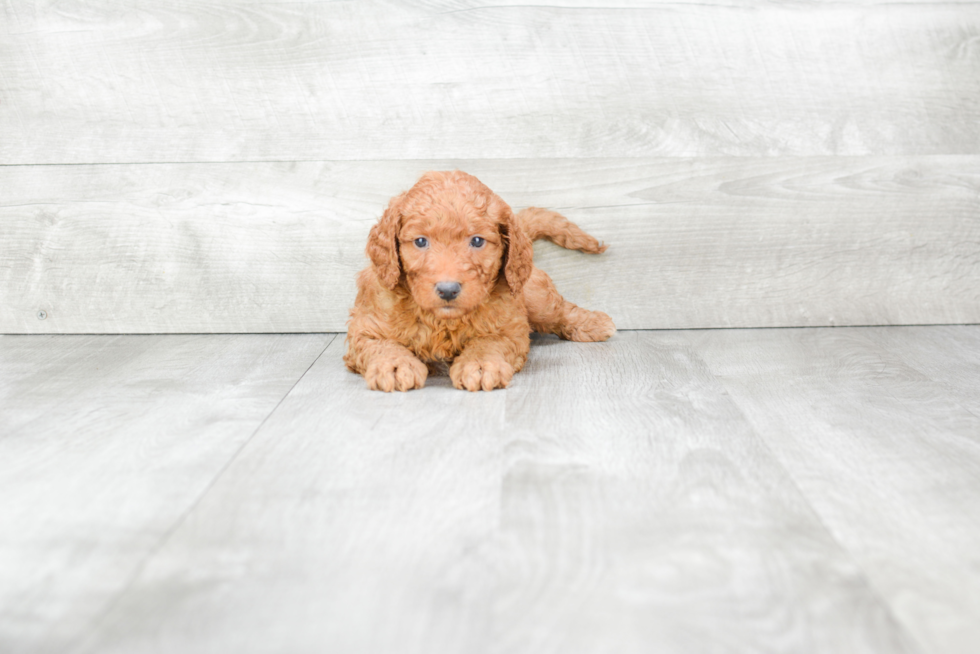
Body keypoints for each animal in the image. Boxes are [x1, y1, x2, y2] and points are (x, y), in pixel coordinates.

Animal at [344, 172, 616, 392]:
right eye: (420, 241)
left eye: (476, 241)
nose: (448, 290)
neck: (442, 321)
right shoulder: (365, 328)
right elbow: (382, 344)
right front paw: (394, 366)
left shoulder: (509, 328)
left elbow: (489, 342)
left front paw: (481, 365)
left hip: (534, 297)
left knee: (559, 310)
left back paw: (594, 323)